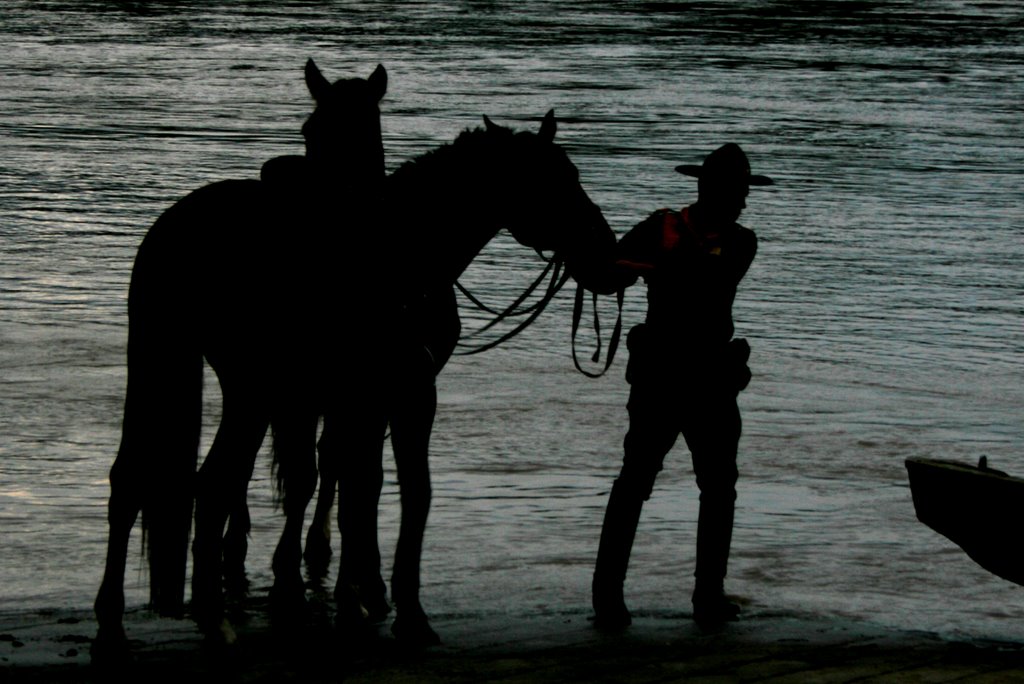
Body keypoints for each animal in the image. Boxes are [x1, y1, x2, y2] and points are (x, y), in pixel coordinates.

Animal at [93, 58, 387, 651]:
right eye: (310, 131)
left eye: (360, 132)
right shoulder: (332, 394)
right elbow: (328, 475)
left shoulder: (309, 396)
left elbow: (316, 473)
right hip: (250, 387)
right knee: (215, 481)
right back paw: (212, 609)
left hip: (164, 363)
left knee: (132, 478)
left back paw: (112, 611)